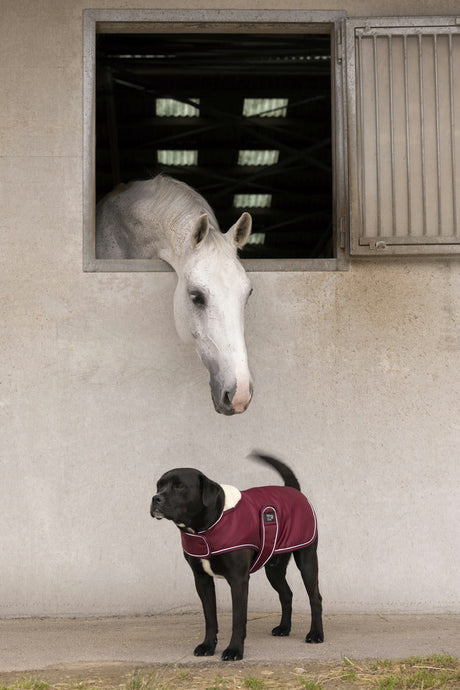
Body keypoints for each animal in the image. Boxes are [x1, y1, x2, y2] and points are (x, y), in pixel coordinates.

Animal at [151, 448, 324, 660]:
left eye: (180, 486)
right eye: (159, 486)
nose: (156, 498)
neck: (206, 527)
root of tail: (294, 490)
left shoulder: (238, 579)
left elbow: (238, 619)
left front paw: (234, 650)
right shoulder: (202, 580)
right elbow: (210, 618)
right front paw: (207, 646)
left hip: (307, 562)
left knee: (315, 598)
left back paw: (316, 634)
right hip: (273, 569)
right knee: (287, 594)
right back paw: (284, 628)